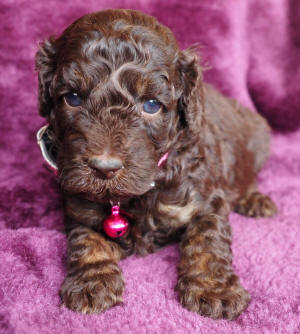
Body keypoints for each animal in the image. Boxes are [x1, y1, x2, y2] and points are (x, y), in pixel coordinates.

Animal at [35, 9, 276, 320]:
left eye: (151, 105)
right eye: (73, 98)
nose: (104, 167)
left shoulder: (206, 199)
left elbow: (207, 241)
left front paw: (214, 289)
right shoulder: (78, 203)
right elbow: (85, 239)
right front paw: (92, 281)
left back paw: (255, 200)